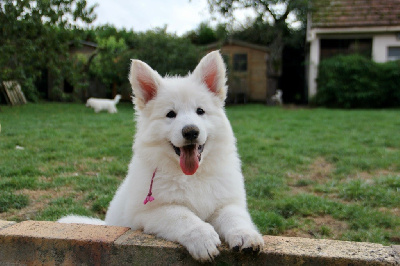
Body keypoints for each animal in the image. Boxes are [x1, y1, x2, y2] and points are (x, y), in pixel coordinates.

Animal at [59, 51, 264, 260]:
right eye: (170, 114)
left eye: (200, 111)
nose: (191, 131)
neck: (191, 176)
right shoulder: (148, 212)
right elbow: (182, 215)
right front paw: (202, 237)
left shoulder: (226, 202)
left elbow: (234, 216)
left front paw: (245, 235)